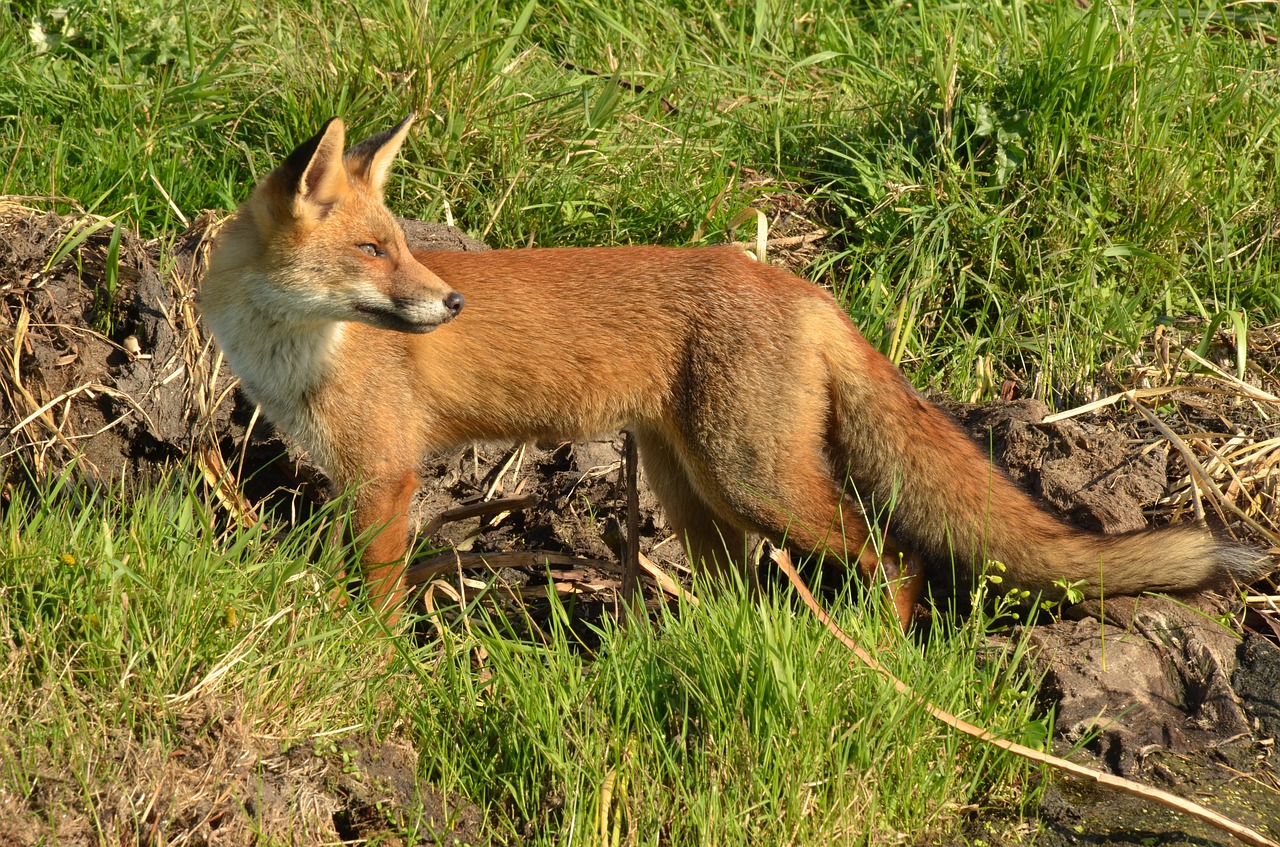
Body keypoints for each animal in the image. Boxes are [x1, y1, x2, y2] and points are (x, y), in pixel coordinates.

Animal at [197, 116, 1259, 626]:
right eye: (374, 250)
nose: (451, 304)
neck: (294, 349)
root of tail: (793, 280)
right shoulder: (355, 477)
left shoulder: (385, 475)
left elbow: (374, 599)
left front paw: (370, 659)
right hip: (694, 489)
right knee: (750, 587)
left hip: (755, 479)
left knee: (896, 555)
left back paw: (883, 654)